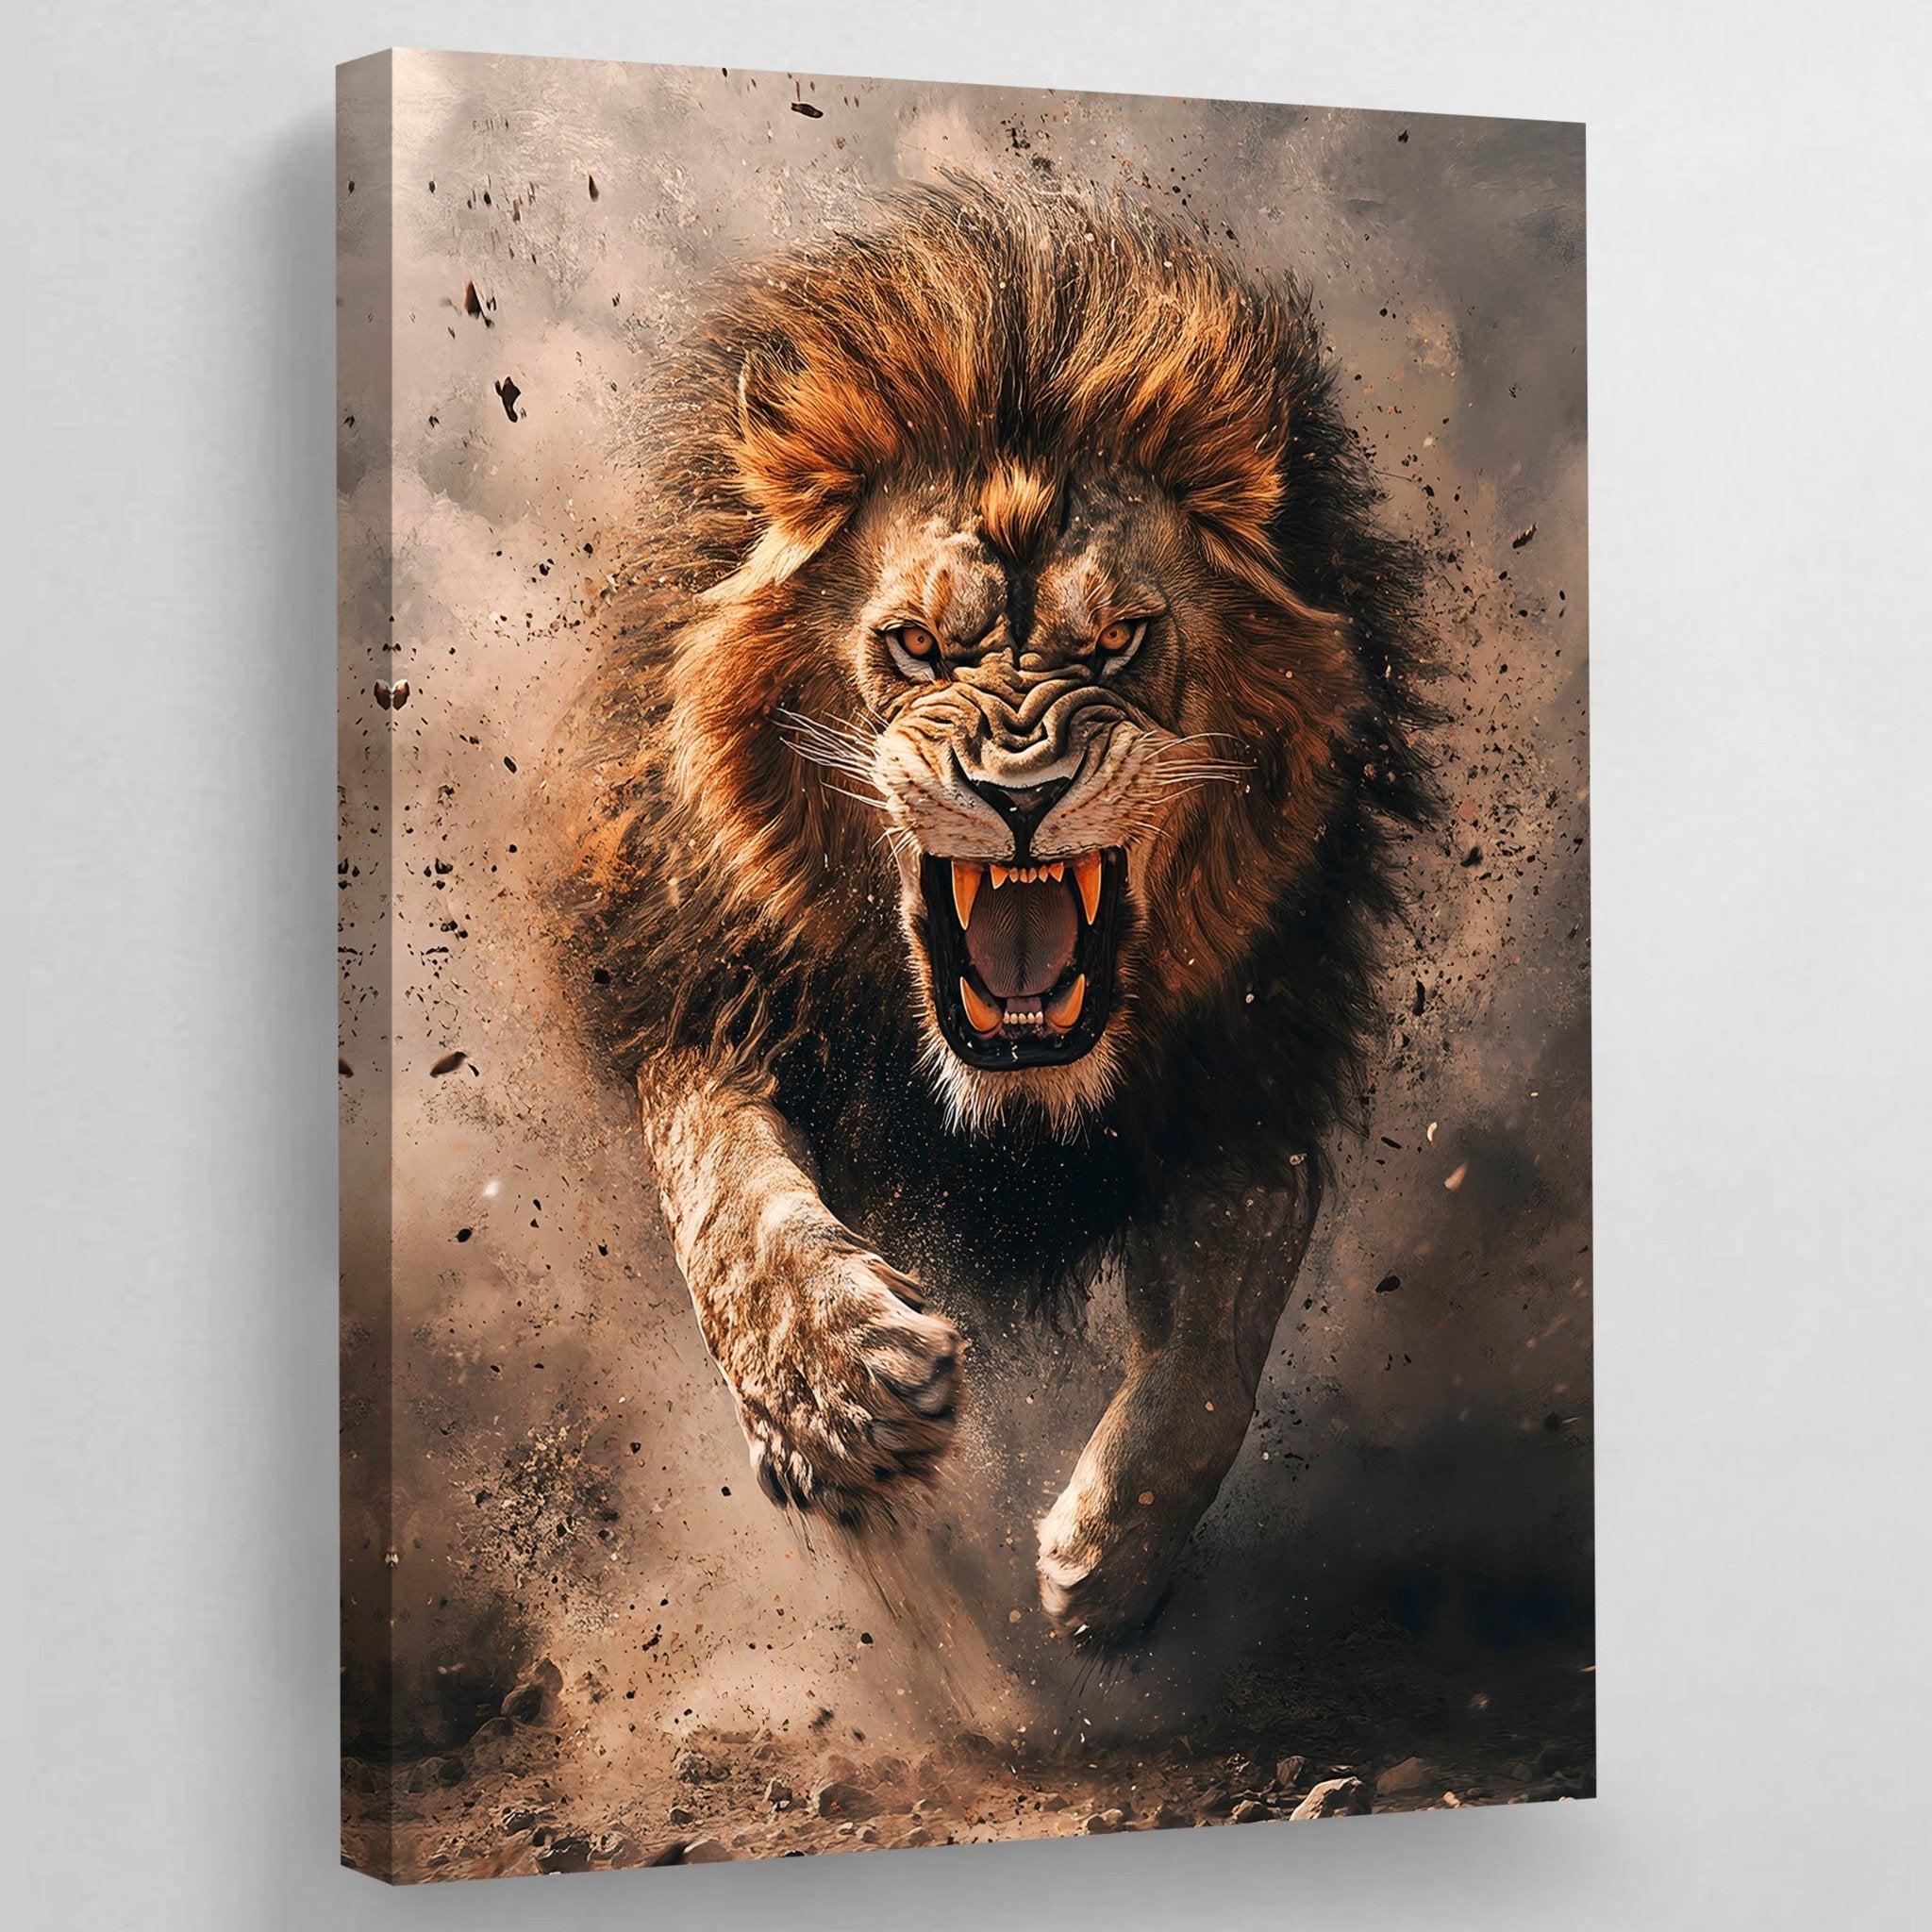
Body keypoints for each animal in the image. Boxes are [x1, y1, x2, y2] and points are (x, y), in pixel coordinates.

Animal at [555, 177, 1435, 1644]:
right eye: (917, 644)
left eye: (1120, 641)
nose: (1020, 794)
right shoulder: (704, 980)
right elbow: (719, 1187)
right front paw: (833, 1395)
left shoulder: (1251, 1065)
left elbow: (1236, 1293)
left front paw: (1110, 1556)